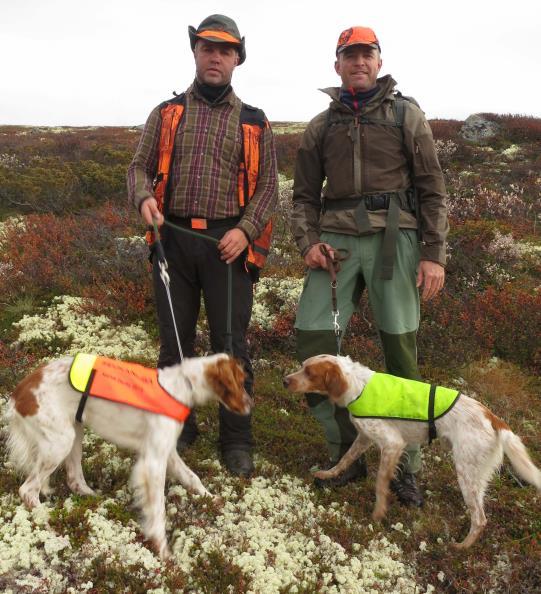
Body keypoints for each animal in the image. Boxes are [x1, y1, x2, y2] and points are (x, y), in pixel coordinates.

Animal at [6, 354, 251, 556]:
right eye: (240, 380)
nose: (250, 404)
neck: (182, 385)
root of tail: (19, 391)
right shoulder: (153, 461)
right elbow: (158, 510)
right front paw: (162, 549)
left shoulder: (168, 452)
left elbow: (193, 478)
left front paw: (211, 498)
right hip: (60, 442)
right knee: (28, 490)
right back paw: (49, 523)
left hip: (74, 432)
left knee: (74, 479)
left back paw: (95, 499)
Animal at [284, 354, 536, 548]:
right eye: (302, 366)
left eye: (309, 373)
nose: (285, 381)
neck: (358, 386)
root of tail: (493, 418)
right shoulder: (364, 437)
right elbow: (345, 459)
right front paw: (329, 474)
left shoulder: (392, 443)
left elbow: (380, 483)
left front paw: (378, 513)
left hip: (467, 473)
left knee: (480, 519)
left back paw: (460, 547)